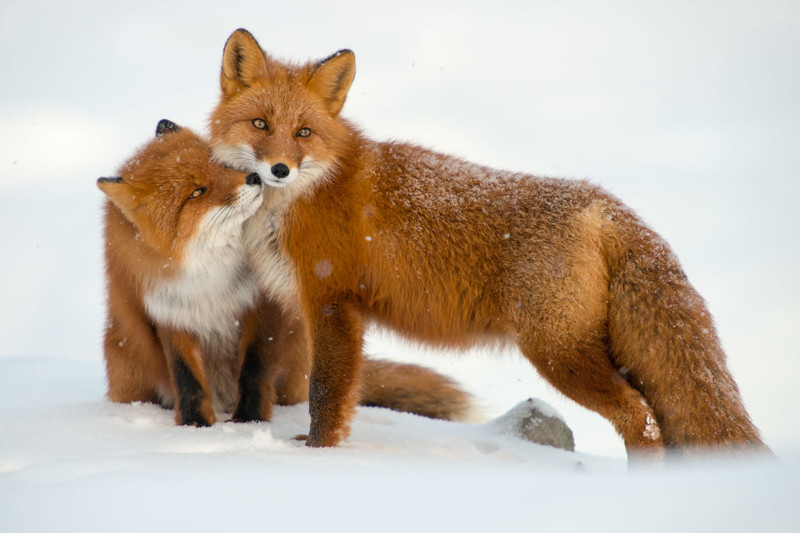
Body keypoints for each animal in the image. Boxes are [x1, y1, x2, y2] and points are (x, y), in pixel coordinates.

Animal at [100, 119, 476, 424]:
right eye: (196, 192)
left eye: (221, 164)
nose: (254, 177)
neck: (211, 276)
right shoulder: (172, 312)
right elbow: (187, 380)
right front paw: (197, 428)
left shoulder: (263, 304)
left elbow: (255, 369)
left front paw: (249, 423)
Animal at [206, 27, 768, 456]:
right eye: (260, 124)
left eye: (303, 132)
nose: (279, 169)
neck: (304, 195)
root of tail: (600, 203)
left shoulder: (332, 302)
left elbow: (326, 393)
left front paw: (318, 456)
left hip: (558, 353)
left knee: (641, 416)